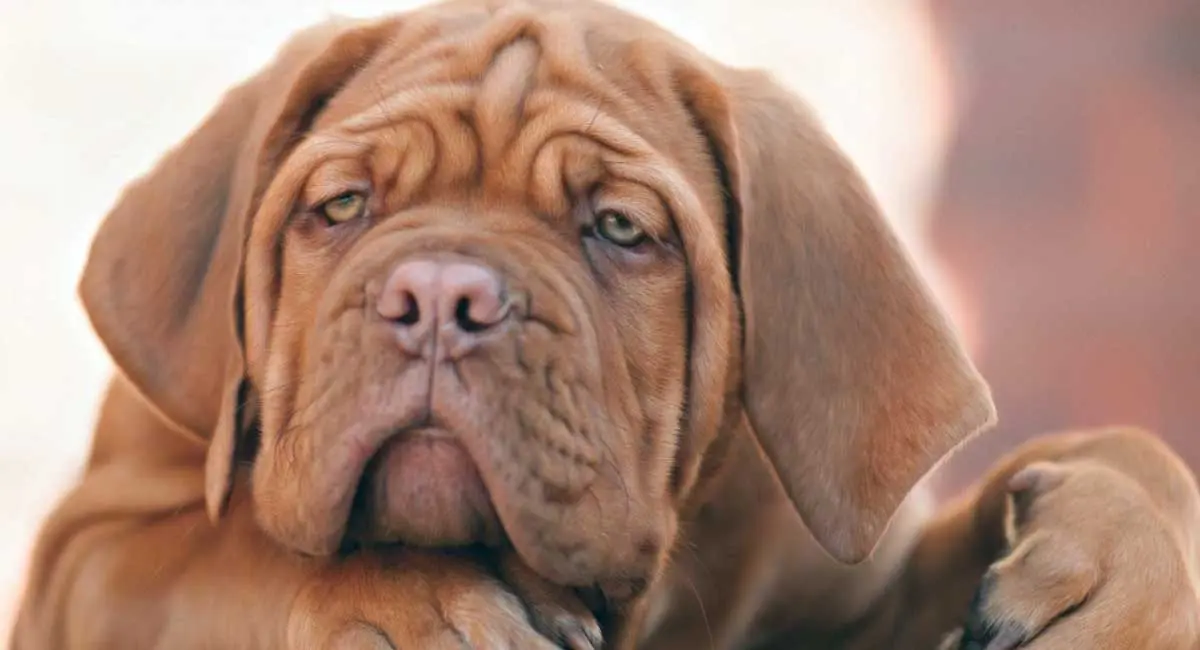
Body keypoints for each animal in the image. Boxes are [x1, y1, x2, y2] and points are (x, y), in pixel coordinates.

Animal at [11, 1, 1200, 650]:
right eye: (343, 205)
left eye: (622, 228)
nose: (438, 299)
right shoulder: (86, 562)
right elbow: (239, 552)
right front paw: (423, 605)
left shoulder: (839, 609)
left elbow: (1128, 449)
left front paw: (1119, 565)